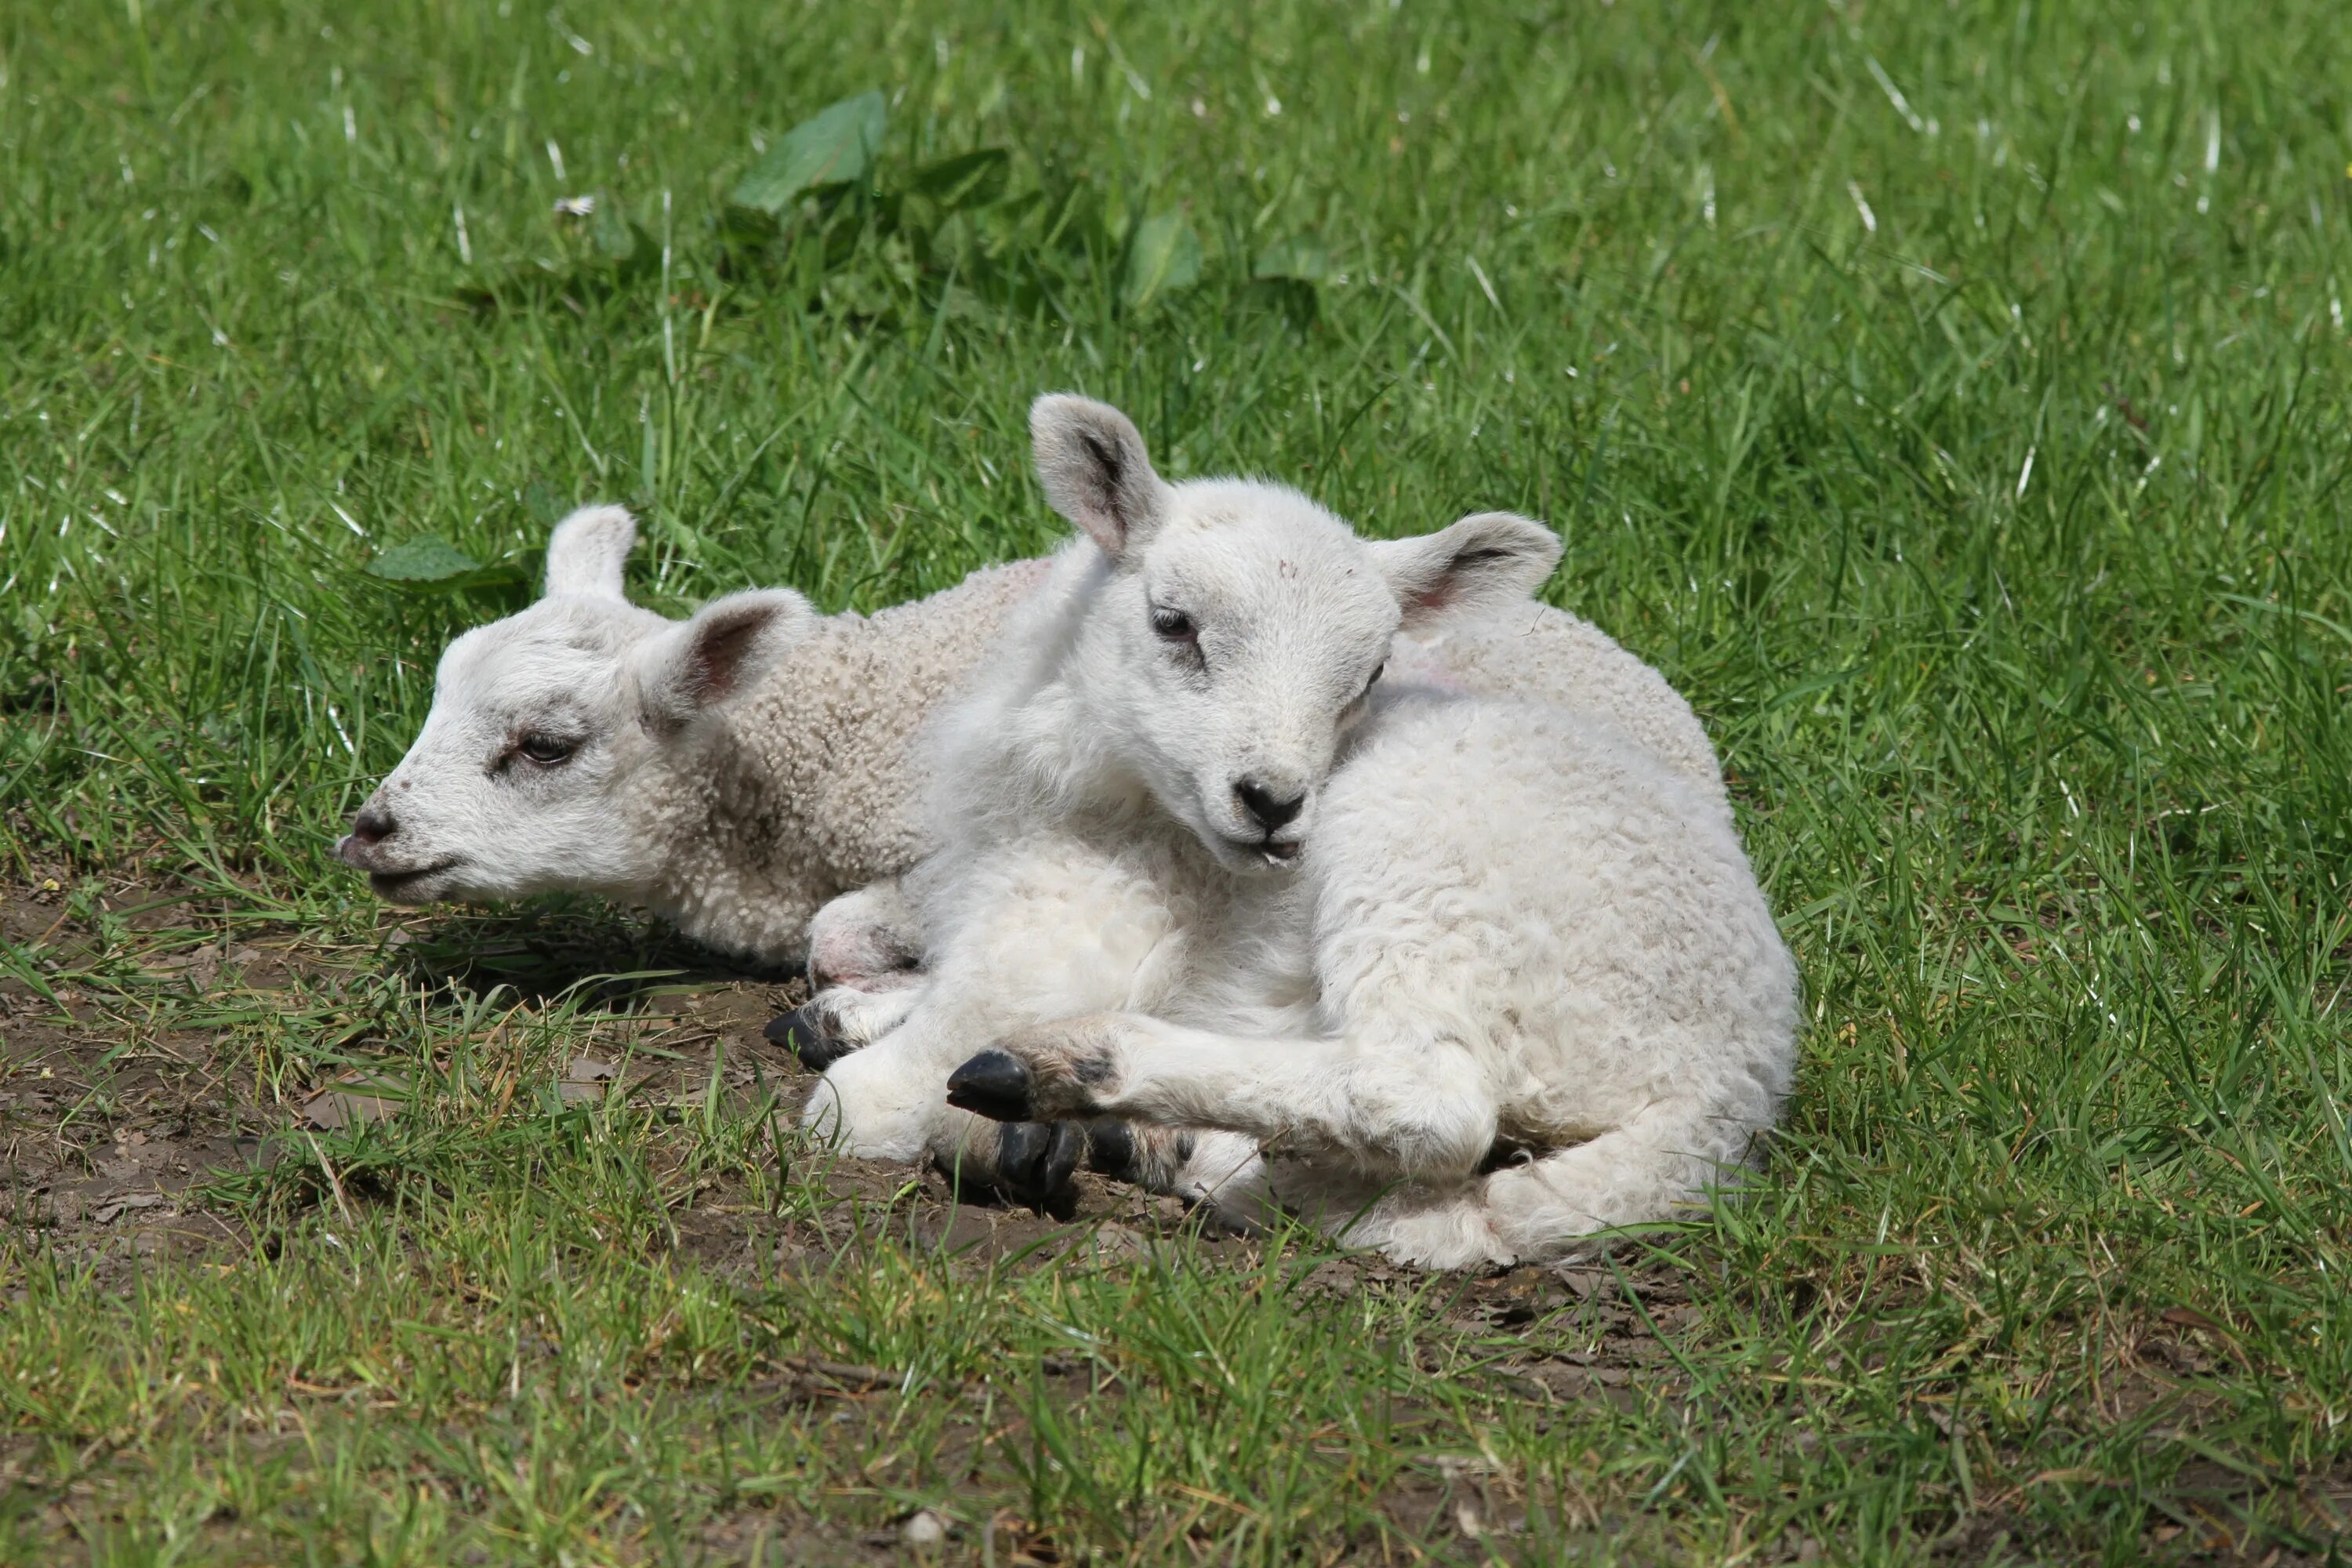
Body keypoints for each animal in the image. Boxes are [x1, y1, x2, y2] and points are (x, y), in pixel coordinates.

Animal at [800, 399, 1788, 1269]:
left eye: (1372, 672)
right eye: (1173, 623)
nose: (1274, 800)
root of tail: (1728, 1089)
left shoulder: (1085, 913)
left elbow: (924, 1046)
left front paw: (875, 1082)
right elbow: (845, 931)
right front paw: (852, 1006)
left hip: (1430, 872)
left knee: (1427, 1101)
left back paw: (1074, 1073)